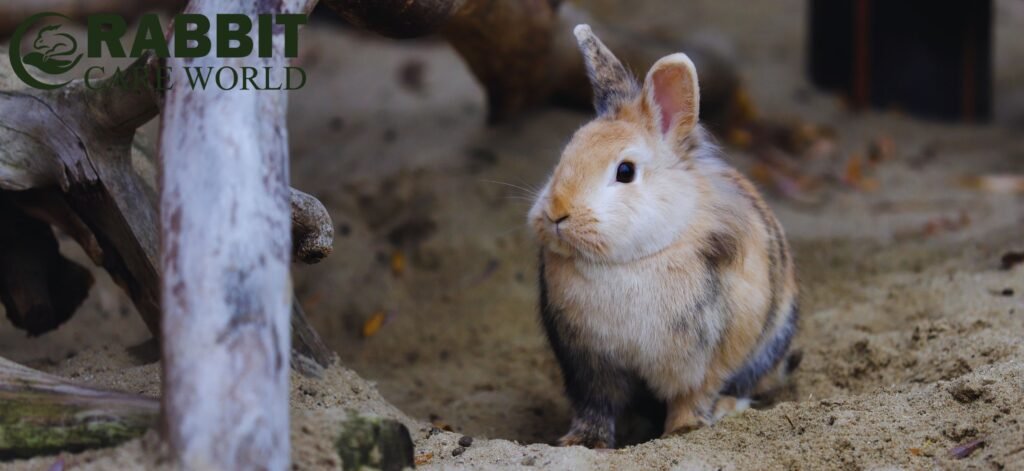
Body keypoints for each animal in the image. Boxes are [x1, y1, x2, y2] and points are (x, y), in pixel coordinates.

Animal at [529, 24, 799, 449]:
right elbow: (595, 406)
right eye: (566, 154)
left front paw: (685, 429)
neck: (630, 261)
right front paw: (582, 442)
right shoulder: (588, 365)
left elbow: (695, 393)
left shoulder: (706, 358)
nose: (557, 212)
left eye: (625, 171)